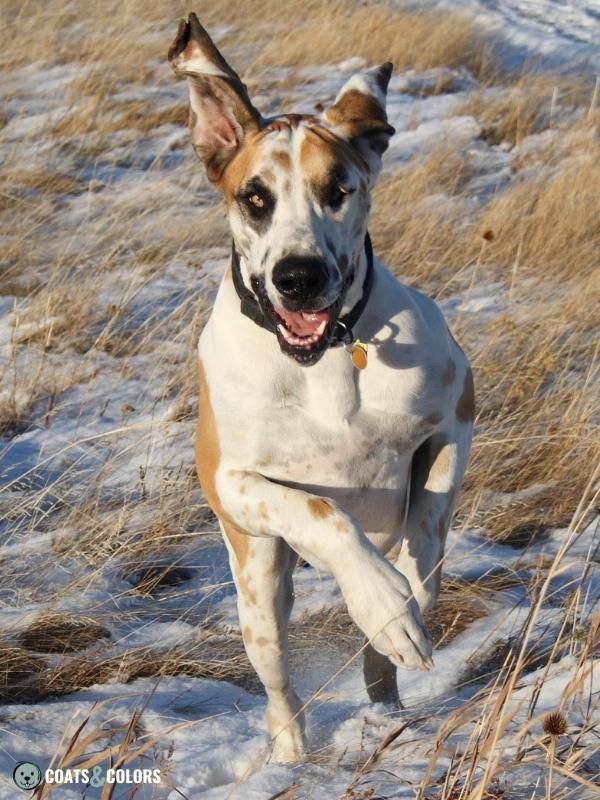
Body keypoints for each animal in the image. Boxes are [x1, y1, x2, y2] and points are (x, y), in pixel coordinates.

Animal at [168, 12, 474, 764]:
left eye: (339, 189)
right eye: (255, 198)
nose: (299, 276)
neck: (325, 360)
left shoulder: (456, 414)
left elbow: (427, 537)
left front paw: (404, 599)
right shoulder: (233, 480)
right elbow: (318, 509)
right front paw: (381, 597)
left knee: (379, 662)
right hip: (257, 587)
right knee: (279, 683)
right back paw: (291, 756)